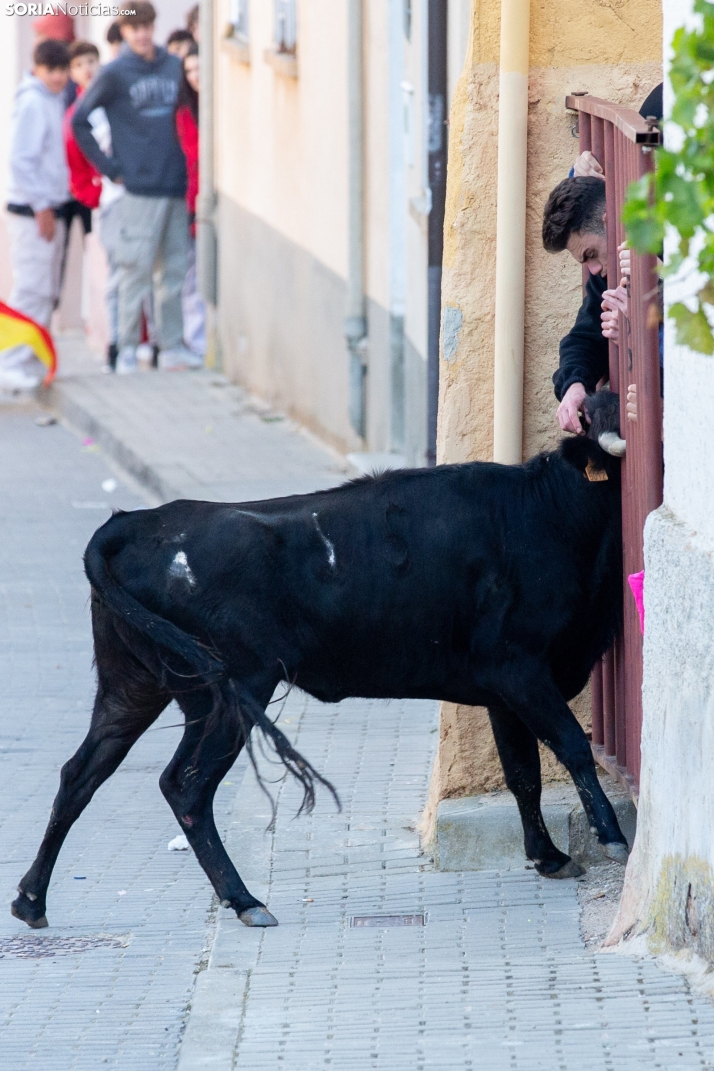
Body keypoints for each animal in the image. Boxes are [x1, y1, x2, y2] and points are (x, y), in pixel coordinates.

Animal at [9, 391, 625, 929]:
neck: (547, 511)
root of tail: (133, 524)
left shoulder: (504, 689)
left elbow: (523, 772)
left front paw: (547, 855)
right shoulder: (521, 670)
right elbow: (571, 746)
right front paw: (612, 836)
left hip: (134, 687)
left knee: (82, 773)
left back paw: (31, 899)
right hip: (234, 690)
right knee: (185, 786)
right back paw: (245, 900)